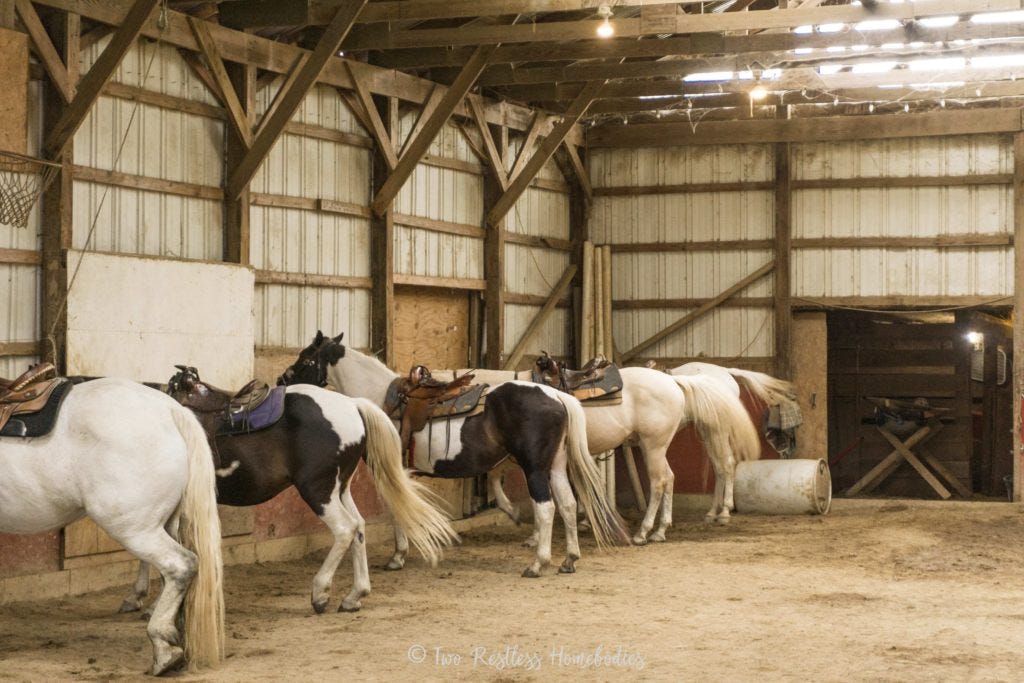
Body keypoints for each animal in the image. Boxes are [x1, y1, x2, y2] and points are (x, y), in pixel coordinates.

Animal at [123, 366, 456, 618]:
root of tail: (353, 405)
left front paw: (149, 601)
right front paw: (140, 597)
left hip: (317, 490)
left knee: (345, 529)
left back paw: (320, 593)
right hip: (340, 488)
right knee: (360, 528)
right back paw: (354, 596)